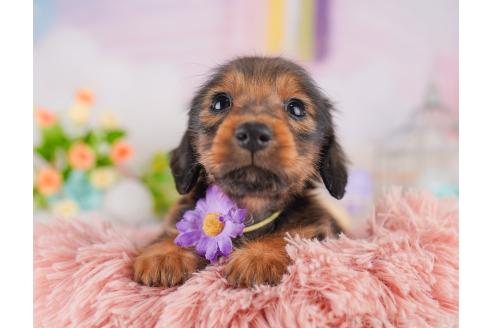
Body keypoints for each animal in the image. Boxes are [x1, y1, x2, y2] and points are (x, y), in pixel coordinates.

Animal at [133, 56, 348, 288]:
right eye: (220, 102)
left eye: (297, 108)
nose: (253, 133)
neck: (251, 204)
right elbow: (176, 231)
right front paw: (164, 254)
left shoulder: (311, 228)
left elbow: (288, 235)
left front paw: (259, 256)